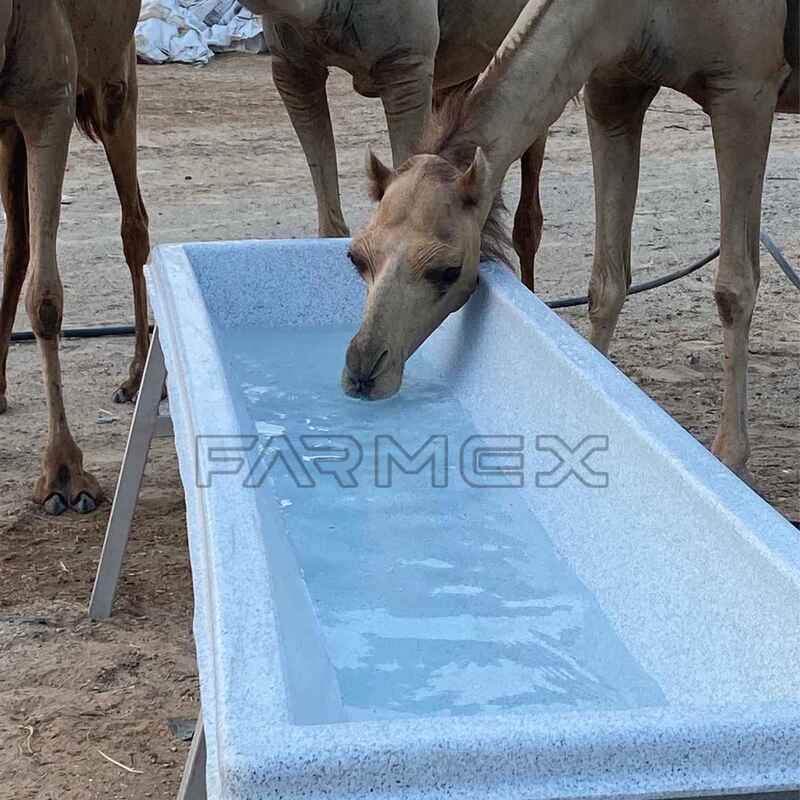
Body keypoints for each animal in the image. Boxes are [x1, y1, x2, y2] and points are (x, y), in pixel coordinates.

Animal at [0, 1, 150, 514]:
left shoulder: (50, 102)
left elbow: (46, 298)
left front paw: (64, 476)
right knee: (19, 241)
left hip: (115, 77)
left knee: (134, 227)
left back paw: (138, 377)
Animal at [345, 0, 799, 484]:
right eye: (357, 257)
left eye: (447, 270)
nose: (362, 369)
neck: (629, 12)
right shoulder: (612, 90)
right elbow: (606, 284)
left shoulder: (744, 91)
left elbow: (733, 288)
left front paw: (731, 458)